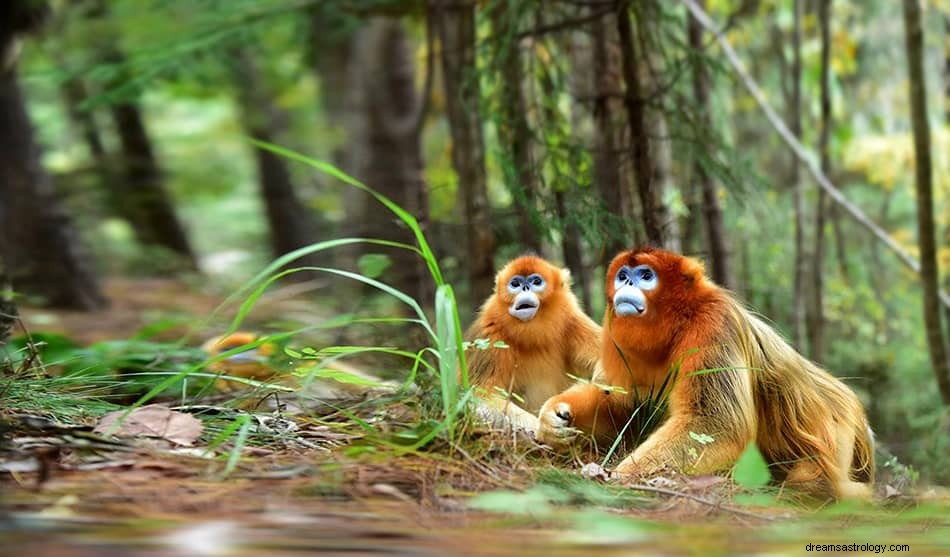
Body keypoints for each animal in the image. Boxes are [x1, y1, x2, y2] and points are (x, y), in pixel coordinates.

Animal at [466, 254, 604, 432]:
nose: (525, 288)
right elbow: (482, 395)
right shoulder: (489, 336)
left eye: (536, 282)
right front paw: (543, 426)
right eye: (515, 284)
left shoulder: (572, 322)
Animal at [540, 248, 872, 500]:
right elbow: (623, 408)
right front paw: (556, 416)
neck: (678, 324)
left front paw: (621, 477)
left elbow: (717, 425)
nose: (626, 286)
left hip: (839, 432)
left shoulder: (713, 325)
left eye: (646, 276)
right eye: (623, 276)